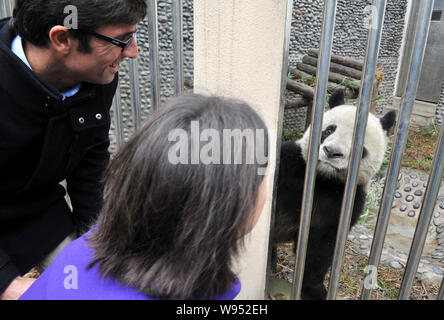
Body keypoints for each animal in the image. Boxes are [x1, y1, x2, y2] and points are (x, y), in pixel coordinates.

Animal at [274, 89, 396, 300]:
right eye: (329, 131)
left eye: (359, 145)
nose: (331, 152)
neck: (325, 179)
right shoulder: (293, 165)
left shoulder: (347, 201)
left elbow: (320, 248)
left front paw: (314, 289)